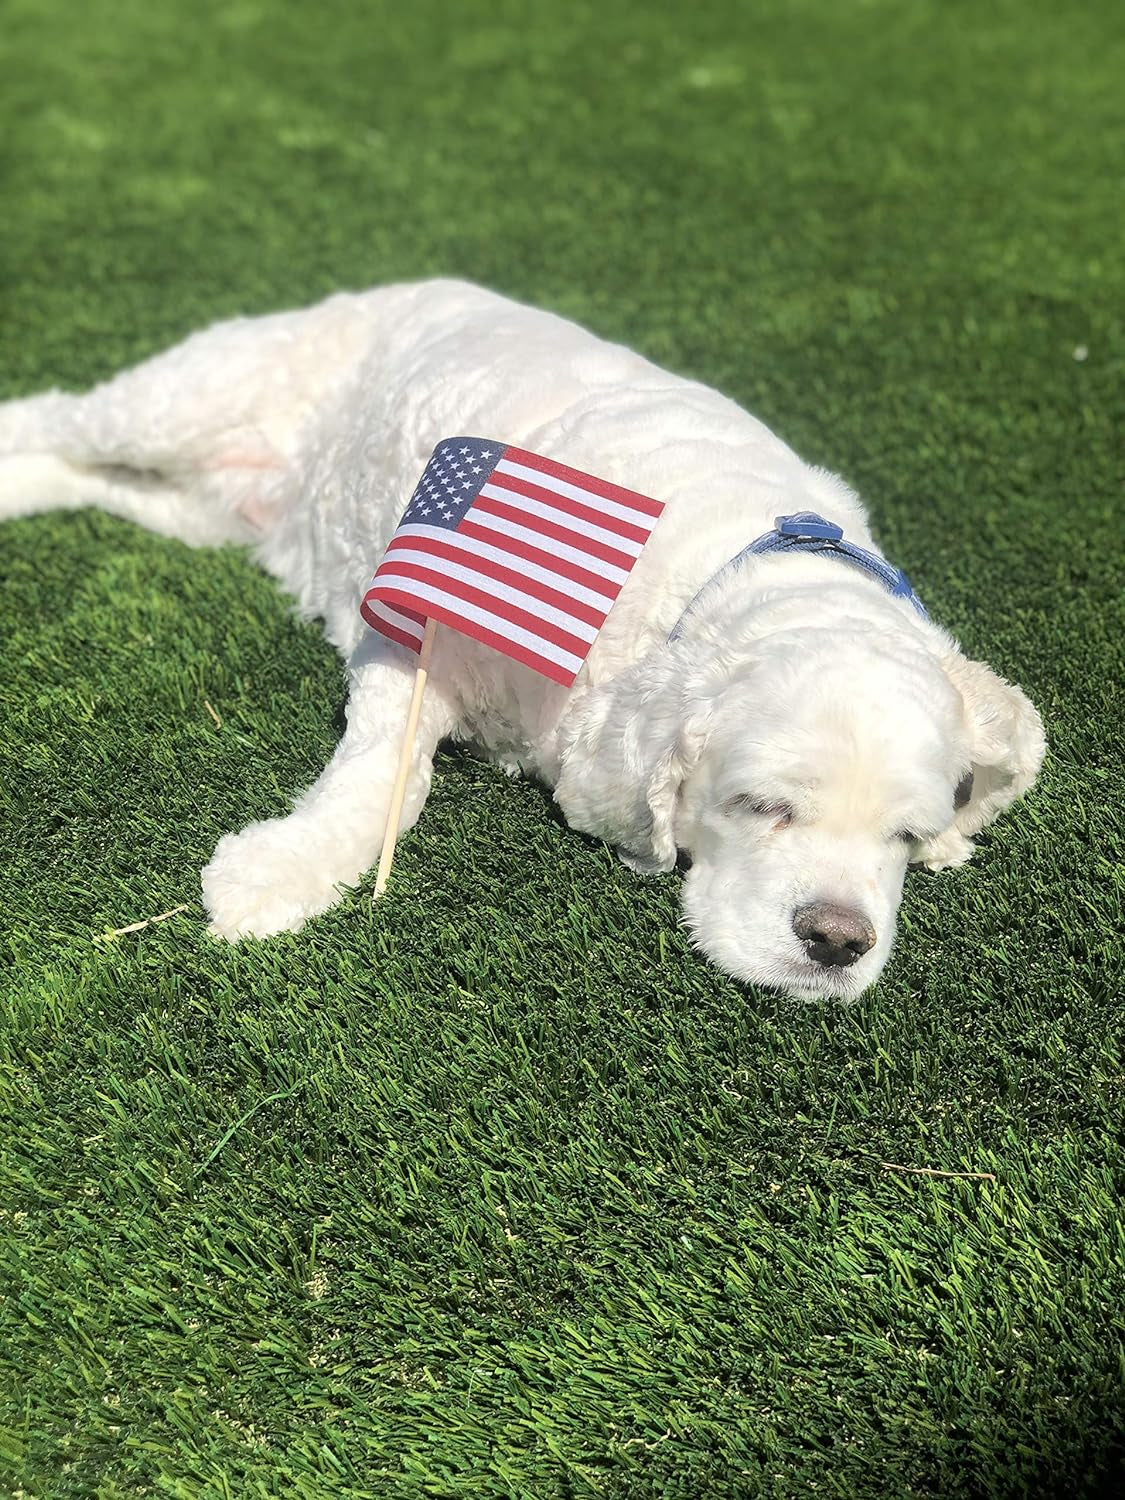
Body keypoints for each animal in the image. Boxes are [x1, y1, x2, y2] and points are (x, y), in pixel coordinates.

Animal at [0, 286, 1050, 1002]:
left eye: (903, 835)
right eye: (760, 805)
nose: (836, 940)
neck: (730, 572)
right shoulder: (412, 626)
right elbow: (385, 775)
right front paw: (278, 874)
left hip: (194, 506)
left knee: (84, 476)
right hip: (186, 403)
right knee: (58, 416)